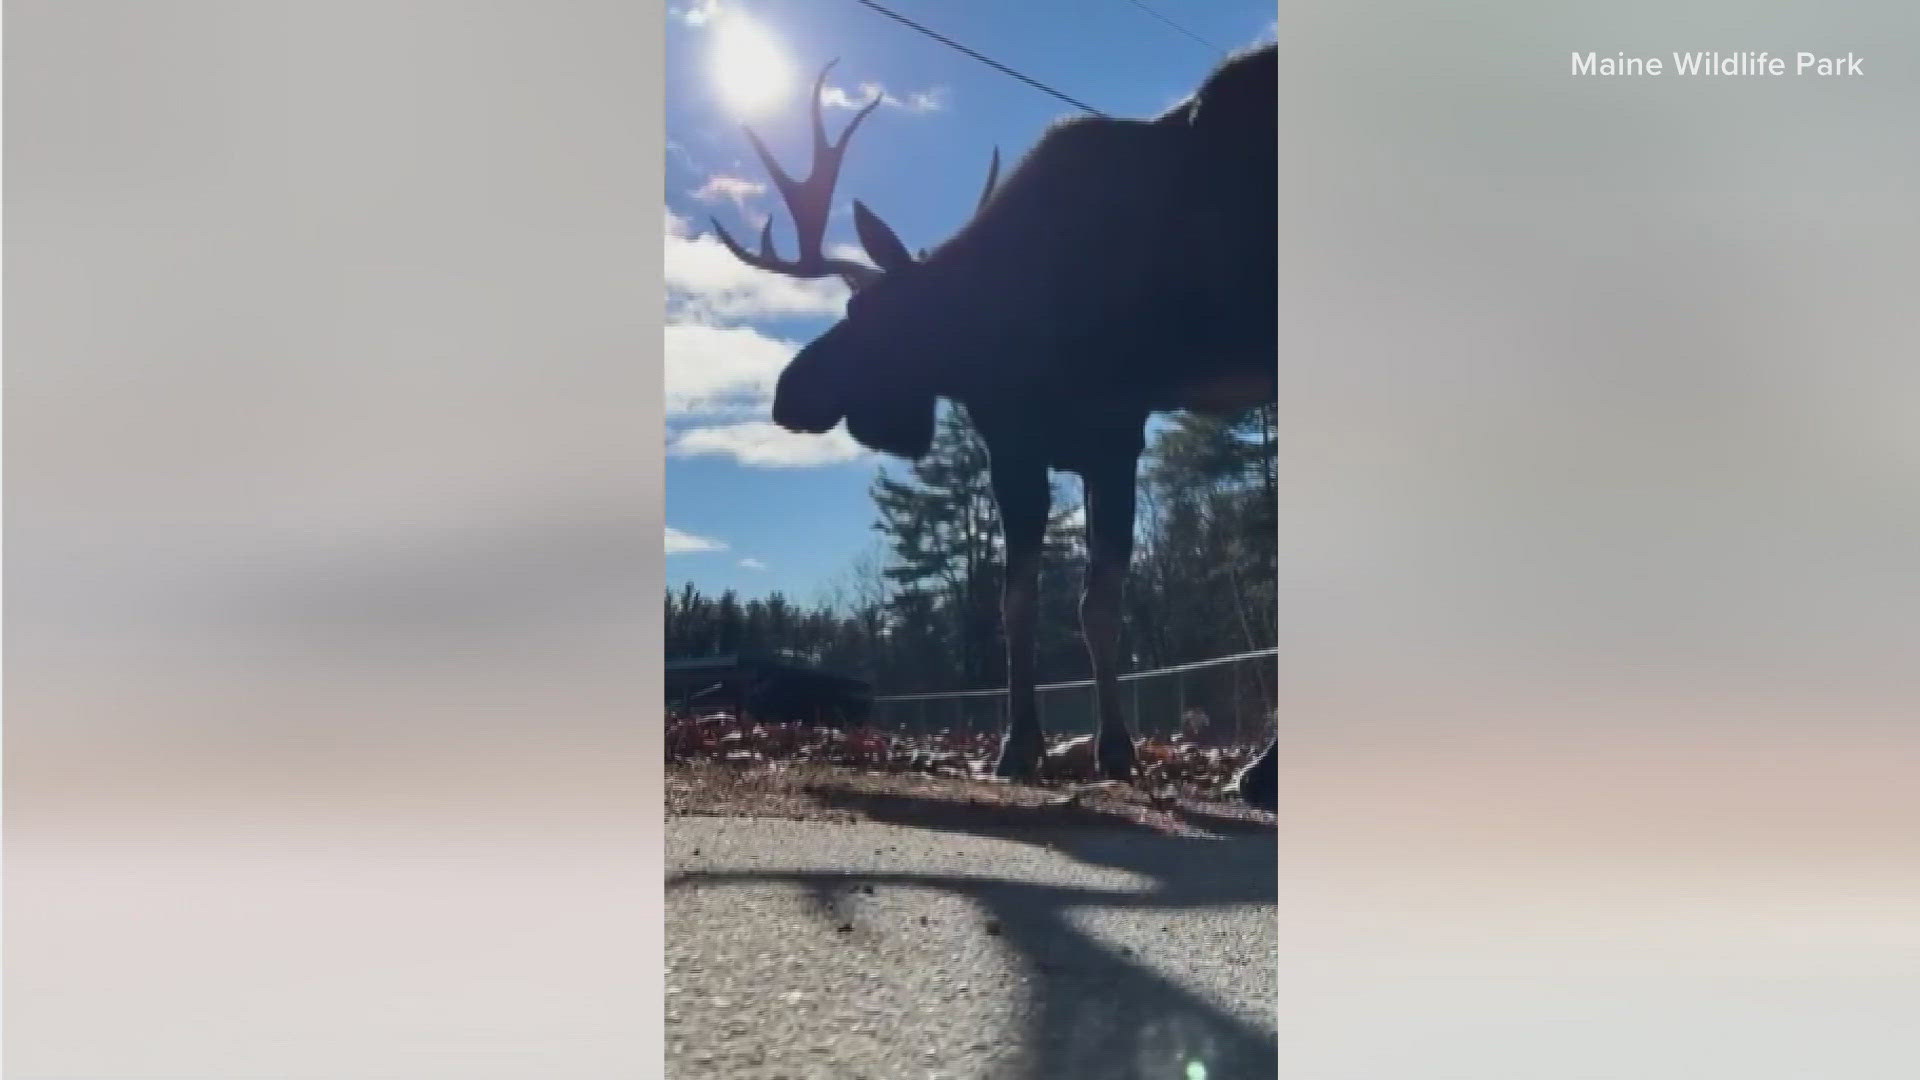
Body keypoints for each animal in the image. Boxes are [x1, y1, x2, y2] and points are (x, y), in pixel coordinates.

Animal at [714, 48, 1282, 807]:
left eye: (869, 314)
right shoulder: (1020, 446)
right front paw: (1020, 745)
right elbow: (1018, 602)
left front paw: (1114, 747)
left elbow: (1096, 605)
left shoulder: (1113, 432)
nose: (787, 392)